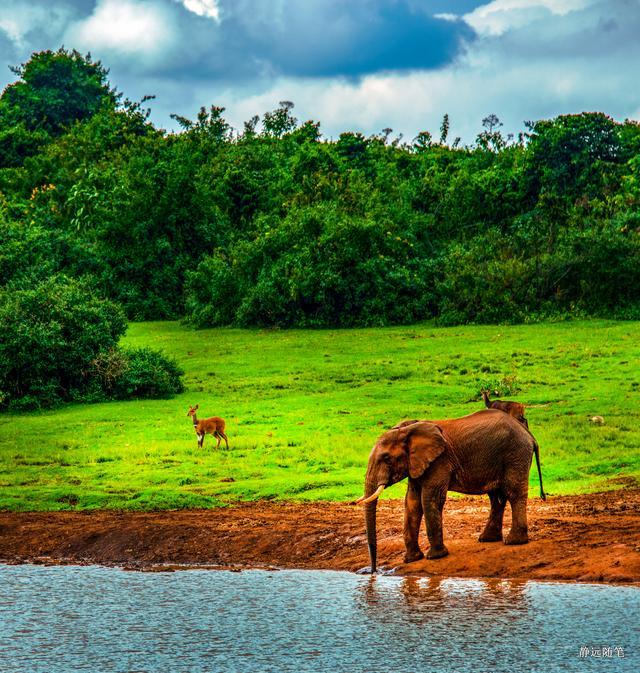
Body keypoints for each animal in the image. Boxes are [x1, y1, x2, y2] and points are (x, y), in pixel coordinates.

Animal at [356, 410, 544, 572]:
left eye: (387, 459)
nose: (373, 571)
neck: (408, 430)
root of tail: (529, 435)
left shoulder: (440, 461)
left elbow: (430, 499)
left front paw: (435, 556)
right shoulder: (417, 465)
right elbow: (412, 503)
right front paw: (411, 559)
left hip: (515, 455)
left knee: (513, 492)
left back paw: (513, 542)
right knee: (496, 497)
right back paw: (488, 538)